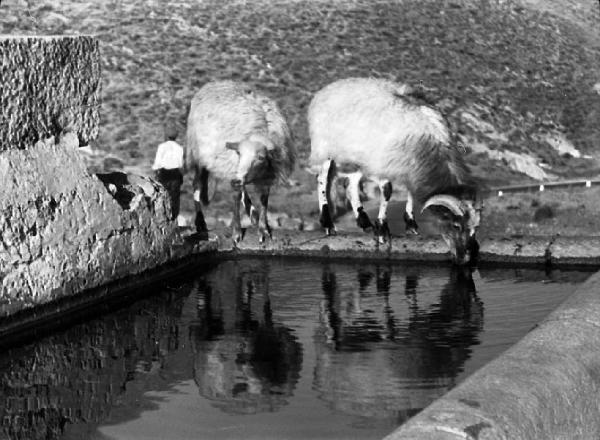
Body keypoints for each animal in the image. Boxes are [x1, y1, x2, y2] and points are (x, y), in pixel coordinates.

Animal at [184, 80, 294, 244]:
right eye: (239, 153)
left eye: (261, 157)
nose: (236, 180)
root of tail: (216, 82)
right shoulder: (233, 169)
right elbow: (236, 197)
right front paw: (236, 232)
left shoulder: (266, 177)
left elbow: (264, 201)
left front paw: (263, 228)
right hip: (198, 153)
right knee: (197, 185)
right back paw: (201, 223)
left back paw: (253, 215)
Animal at [310, 78, 482, 264]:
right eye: (456, 225)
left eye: (476, 227)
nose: (467, 258)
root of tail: (328, 88)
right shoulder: (384, 165)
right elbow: (387, 191)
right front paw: (382, 230)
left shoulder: (409, 168)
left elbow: (410, 192)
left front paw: (410, 224)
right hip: (325, 149)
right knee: (322, 179)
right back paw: (328, 223)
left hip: (359, 156)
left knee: (351, 184)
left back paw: (364, 222)